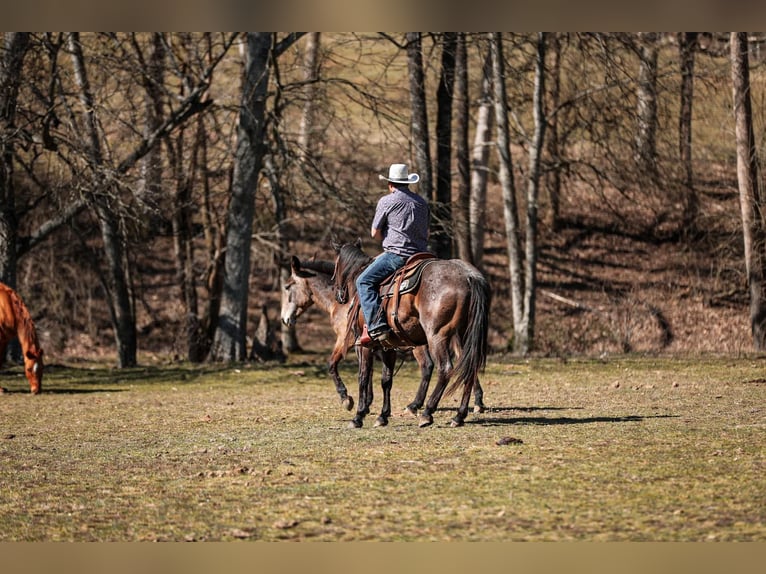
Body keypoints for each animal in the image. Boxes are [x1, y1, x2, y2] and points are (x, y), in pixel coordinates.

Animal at [332, 242, 488, 428]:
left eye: (335, 265)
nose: (339, 295)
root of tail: (468, 276)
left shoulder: (364, 346)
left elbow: (363, 377)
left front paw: (358, 415)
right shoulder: (388, 347)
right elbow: (386, 380)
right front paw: (382, 416)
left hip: (436, 336)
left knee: (444, 369)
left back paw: (427, 412)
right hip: (464, 336)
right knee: (469, 369)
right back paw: (459, 416)